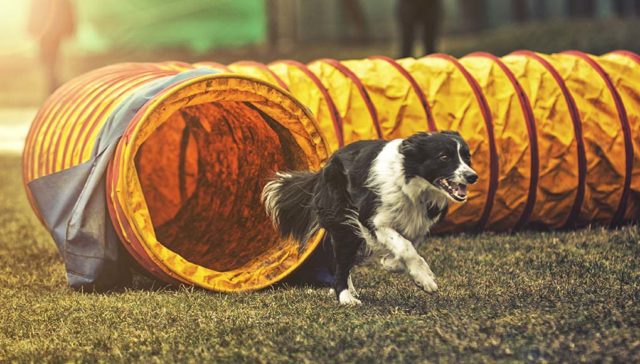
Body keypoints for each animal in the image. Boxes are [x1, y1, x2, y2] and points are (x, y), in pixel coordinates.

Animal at [260, 131, 476, 304]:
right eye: (444, 156)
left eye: (467, 157)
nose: (473, 176)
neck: (410, 182)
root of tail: (325, 167)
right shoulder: (371, 218)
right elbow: (405, 247)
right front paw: (425, 279)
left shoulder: (417, 223)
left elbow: (407, 244)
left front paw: (393, 264)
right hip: (344, 222)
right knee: (341, 262)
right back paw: (346, 297)